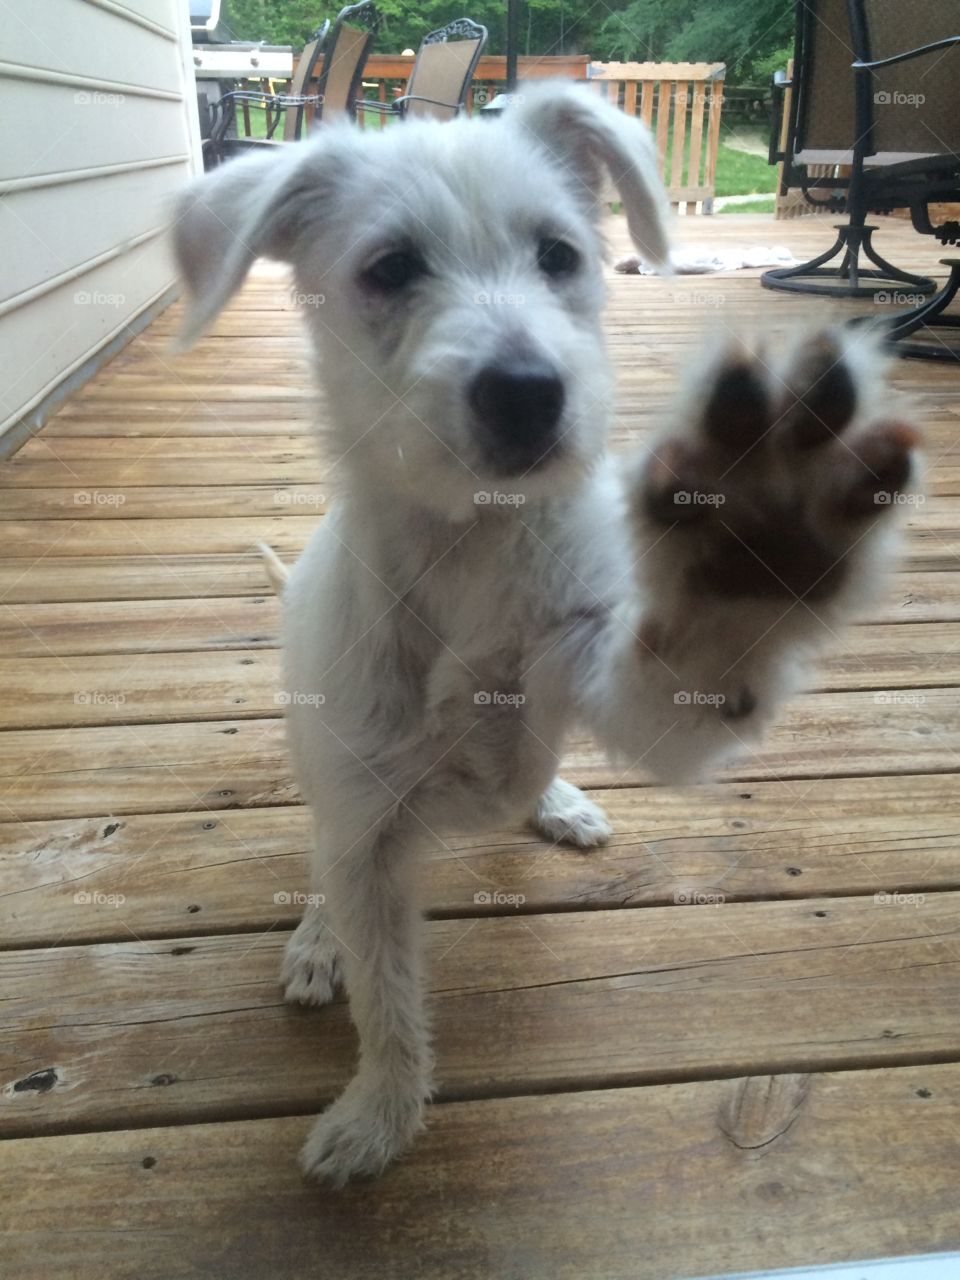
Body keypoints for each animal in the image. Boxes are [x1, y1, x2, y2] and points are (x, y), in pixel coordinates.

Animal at [175, 85, 926, 1182]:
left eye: (560, 255)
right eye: (391, 268)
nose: (530, 391)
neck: (476, 549)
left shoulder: (629, 682)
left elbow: (690, 661)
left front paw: (755, 545)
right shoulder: (367, 830)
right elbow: (387, 999)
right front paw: (378, 1113)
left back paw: (557, 796)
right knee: (322, 862)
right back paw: (317, 939)